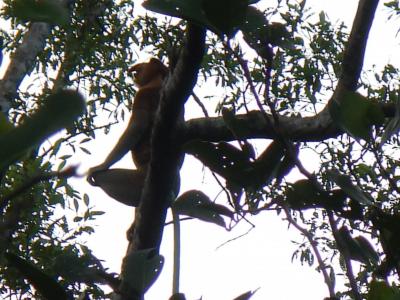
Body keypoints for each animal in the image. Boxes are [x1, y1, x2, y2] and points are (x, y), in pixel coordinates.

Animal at [86, 56, 168, 206]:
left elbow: (135, 129)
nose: (134, 69)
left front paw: (100, 166)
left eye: (146, 64)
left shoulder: (142, 95)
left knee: (102, 177)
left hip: (139, 179)